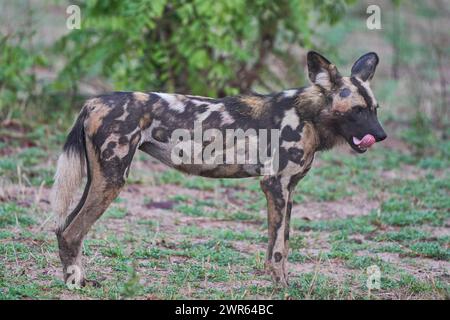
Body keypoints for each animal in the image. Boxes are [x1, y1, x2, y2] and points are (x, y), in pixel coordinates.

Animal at [51, 52, 384, 288]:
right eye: (357, 110)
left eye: (375, 109)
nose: (381, 136)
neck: (308, 115)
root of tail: (93, 102)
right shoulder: (275, 185)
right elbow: (277, 250)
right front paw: (282, 287)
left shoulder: (288, 190)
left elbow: (285, 244)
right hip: (112, 180)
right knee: (72, 231)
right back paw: (75, 283)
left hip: (99, 180)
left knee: (63, 228)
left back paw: (76, 278)